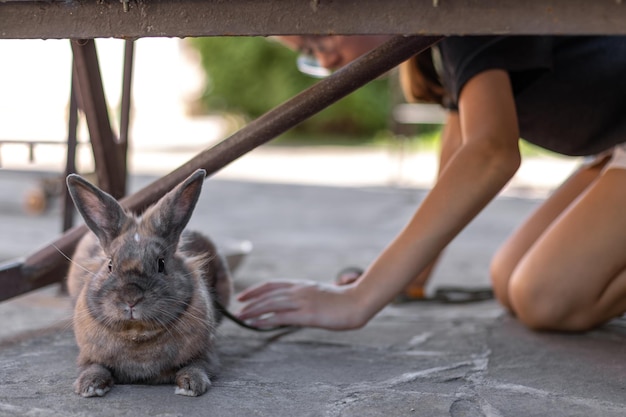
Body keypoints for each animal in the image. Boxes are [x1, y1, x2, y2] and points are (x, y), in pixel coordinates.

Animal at [65, 169, 232, 396]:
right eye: (110, 264)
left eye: (161, 264)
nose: (131, 298)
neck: (137, 334)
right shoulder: (88, 357)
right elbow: (95, 367)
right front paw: (89, 386)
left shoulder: (207, 355)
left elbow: (196, 366)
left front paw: (191, 385)